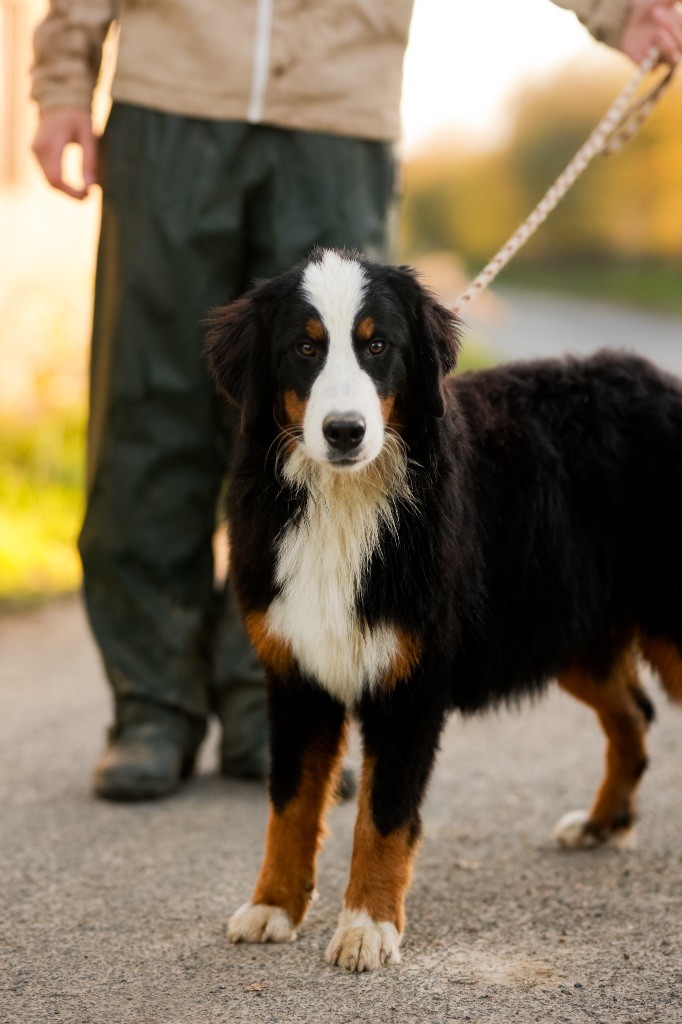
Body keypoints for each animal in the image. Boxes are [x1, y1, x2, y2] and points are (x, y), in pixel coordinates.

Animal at [202, 245, 679, 966]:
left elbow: (384, 815)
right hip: (566, 625)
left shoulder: (410, 679)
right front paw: (273, 906)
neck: (345, 502)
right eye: (304, 348)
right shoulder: (295, 671)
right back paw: (601, 823)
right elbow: (290, 805)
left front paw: (367, 926)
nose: (345, 432)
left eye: (377, 345)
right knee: (633, 715)